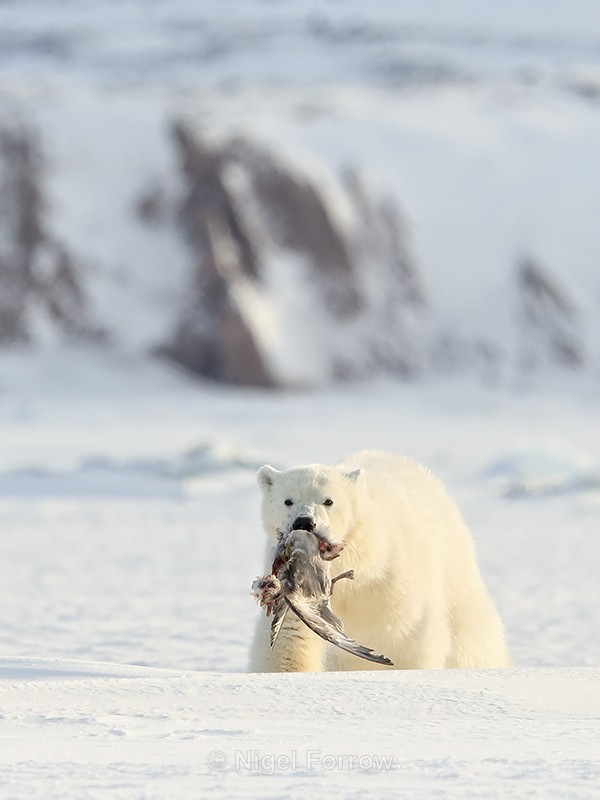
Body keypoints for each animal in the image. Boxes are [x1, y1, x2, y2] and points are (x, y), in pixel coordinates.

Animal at [248, 450, 512, 672]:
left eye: (328, 501)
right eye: (287, 500)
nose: (304, 522)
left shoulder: (391, 581)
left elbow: (408, 636)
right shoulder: (297, 587)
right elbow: (291, 637)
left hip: (454, 566)